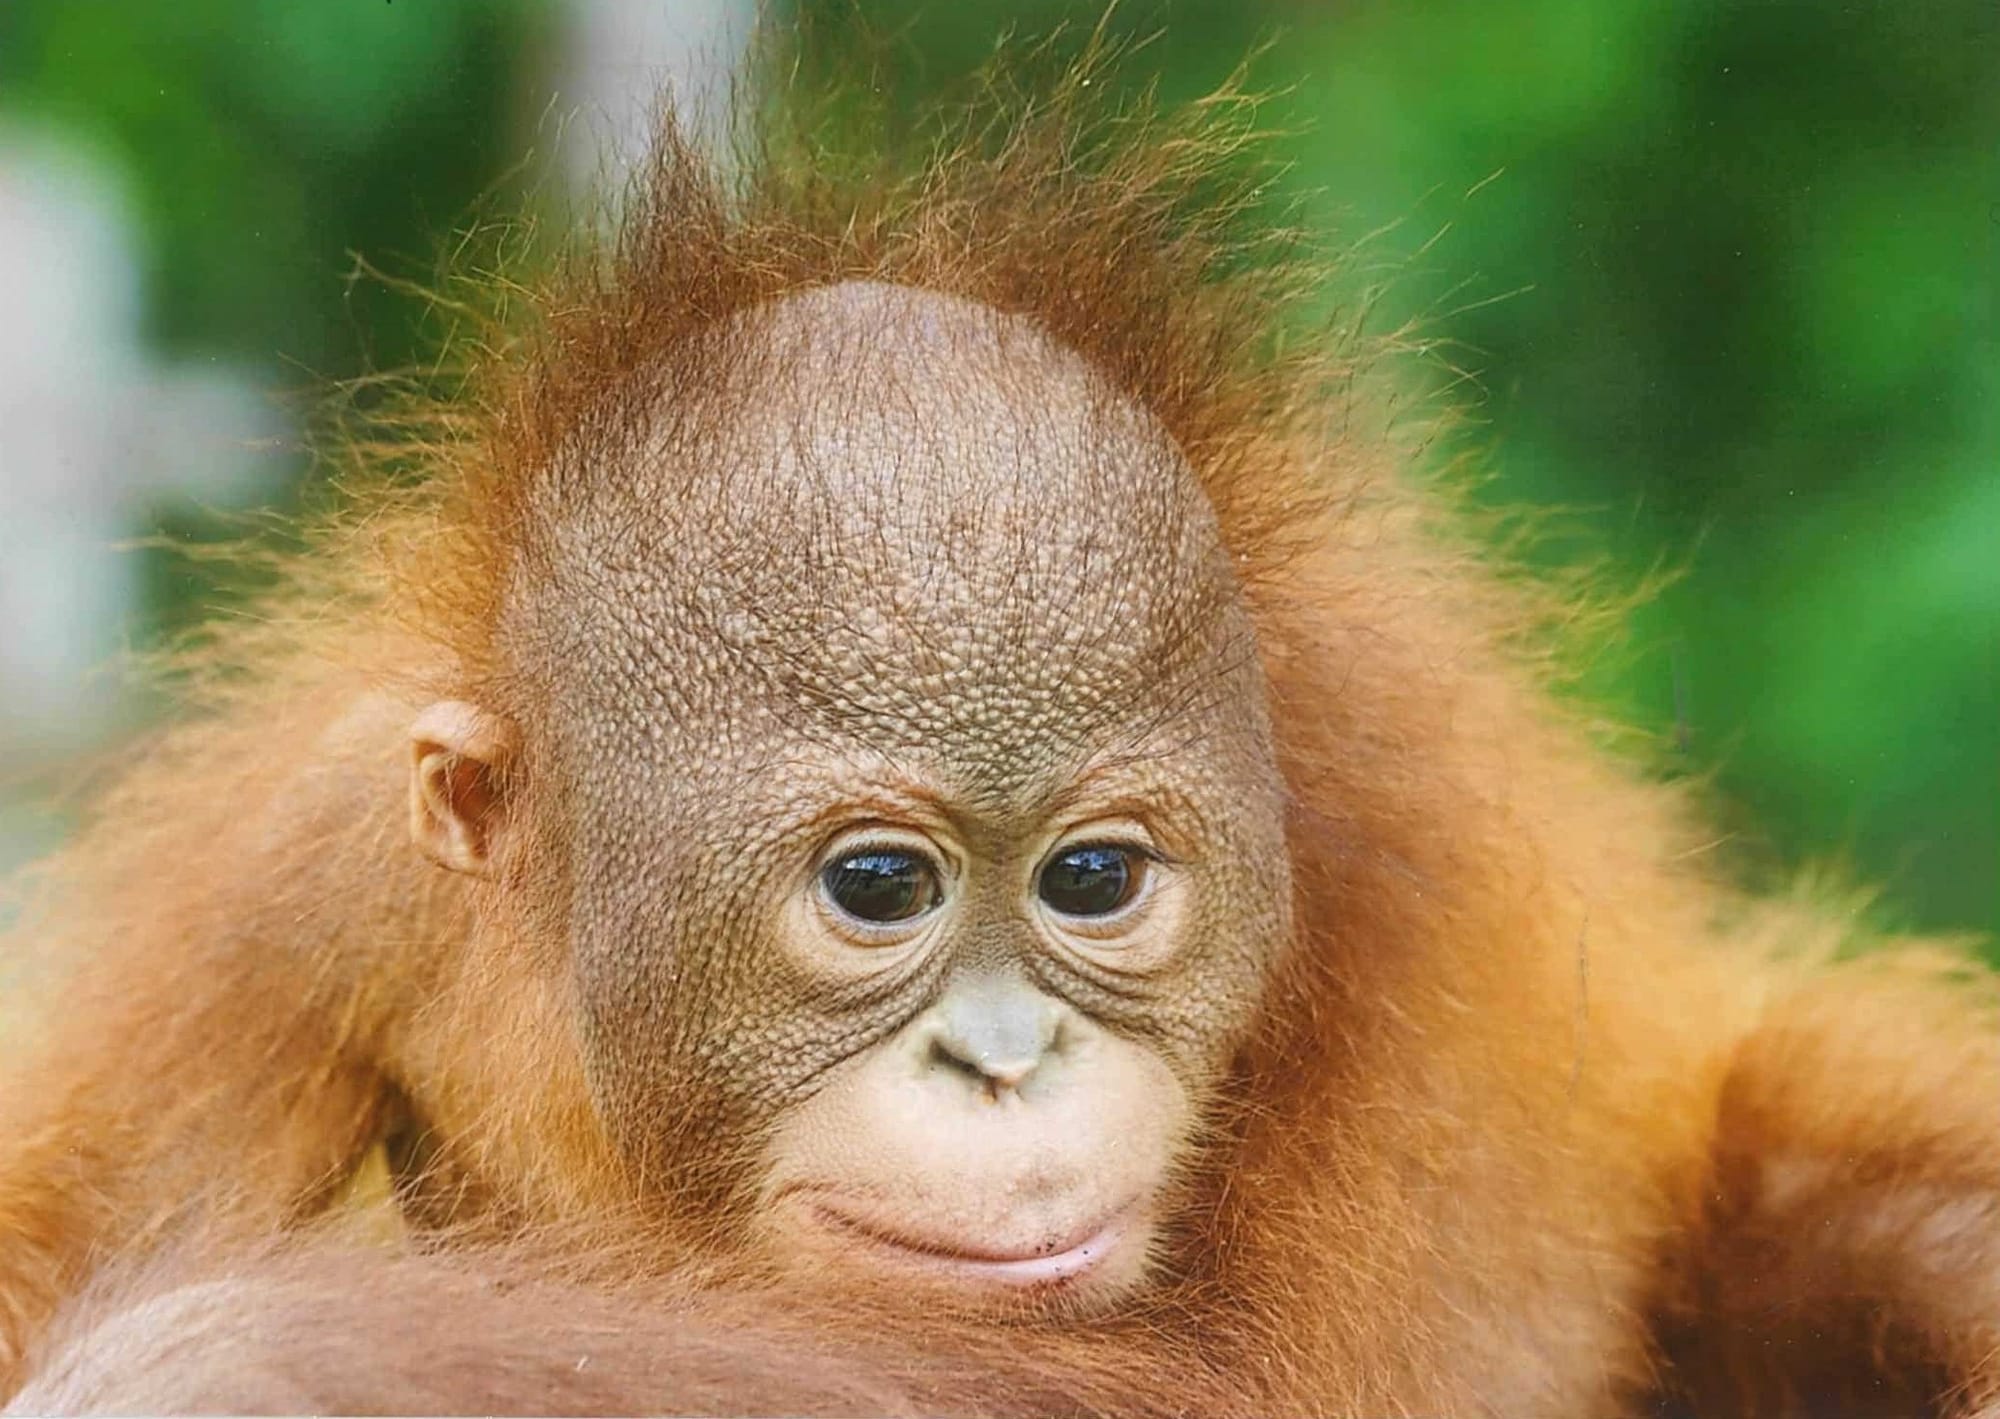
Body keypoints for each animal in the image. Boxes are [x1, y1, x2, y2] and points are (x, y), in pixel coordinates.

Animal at [3, 44, 2000, 1419]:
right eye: (881, 886)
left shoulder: (1400, 873)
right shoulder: (295, 874)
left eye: (1095, 878)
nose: (1006, 1059)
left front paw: (215, 1359)